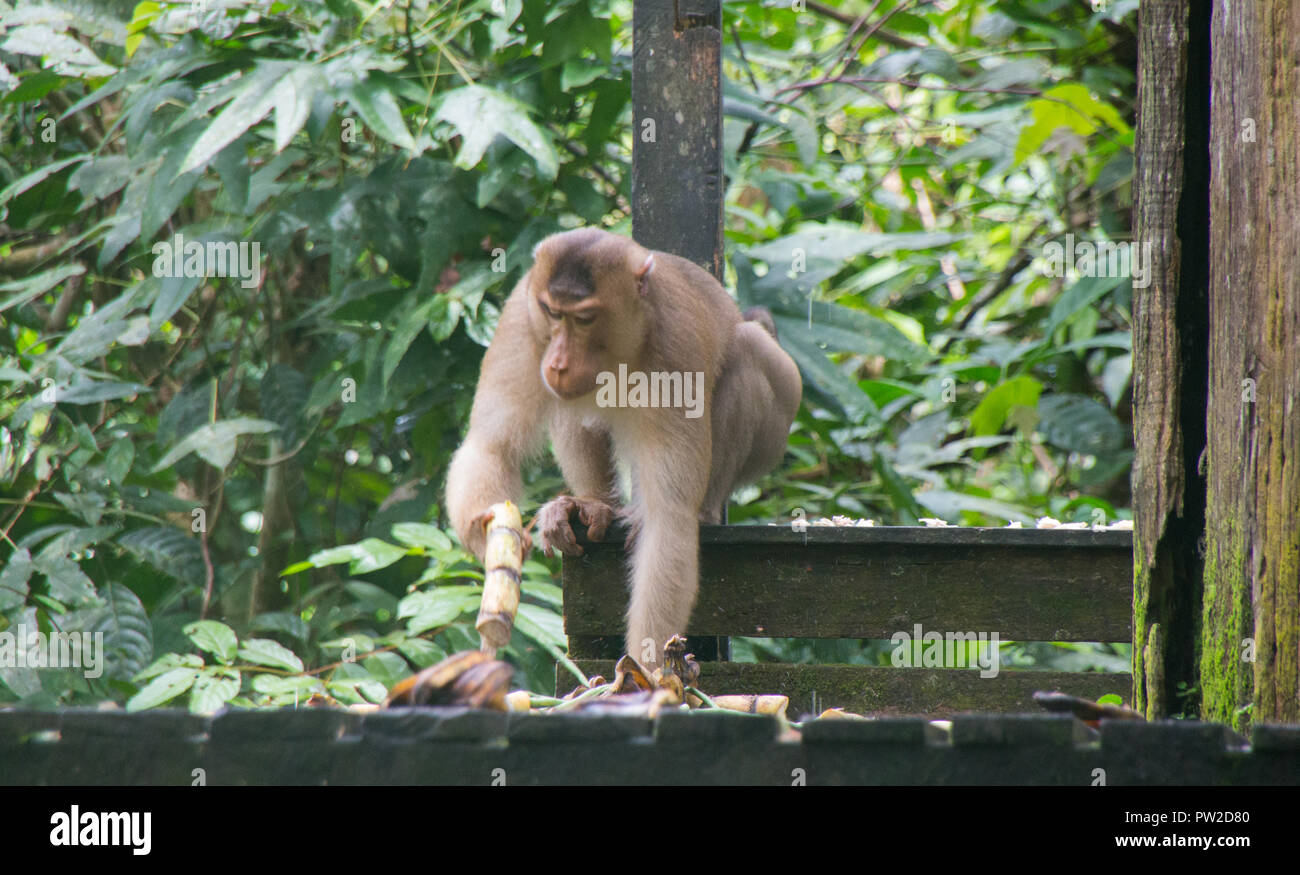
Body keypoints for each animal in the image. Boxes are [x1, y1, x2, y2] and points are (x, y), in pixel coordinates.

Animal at [441, 228, 795, 657]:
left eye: (585, 318)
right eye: (553, 313)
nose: (557, 363)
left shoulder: (674, 349)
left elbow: (668, 518)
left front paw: (645, 670)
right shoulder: (520, 318)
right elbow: (491, 445)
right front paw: (487, 537)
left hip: (778, 419)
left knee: (746, 349)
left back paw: (703, 512)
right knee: (566, 405)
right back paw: (591, 504)